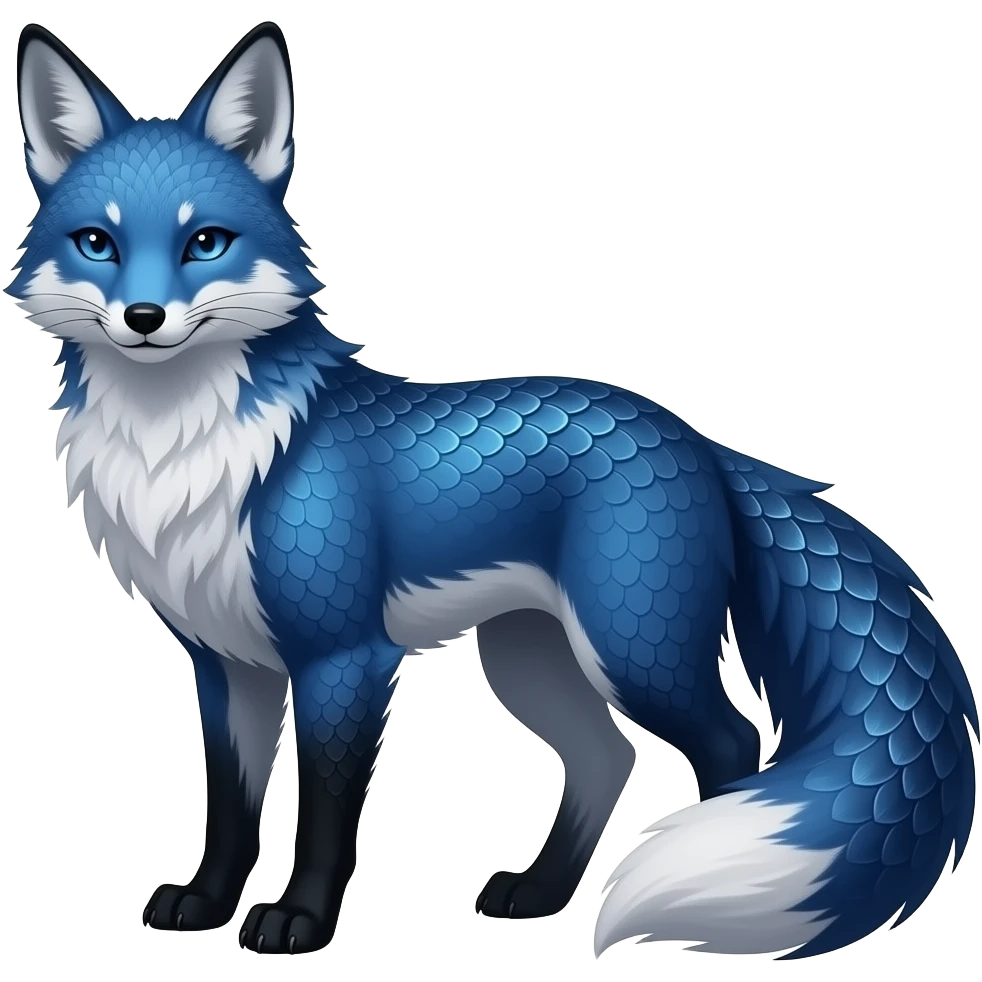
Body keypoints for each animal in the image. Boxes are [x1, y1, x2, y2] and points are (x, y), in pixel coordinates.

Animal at [6, 19, 979, 961]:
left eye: (204, 242)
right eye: (98, 243)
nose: (143, 320)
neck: (185, 458)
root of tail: (699, 441)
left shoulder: (342, 658)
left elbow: (325, 816)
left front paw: (300, 922)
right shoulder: (225, 662)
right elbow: (231, 808)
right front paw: (207, 904)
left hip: (636, 650)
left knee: (734, 745)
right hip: (530, 660)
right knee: (606, 757)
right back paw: (542, 896)